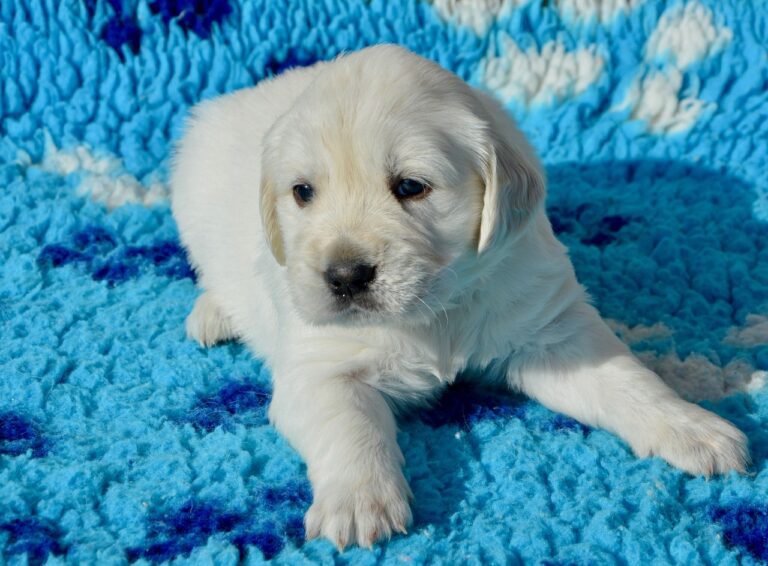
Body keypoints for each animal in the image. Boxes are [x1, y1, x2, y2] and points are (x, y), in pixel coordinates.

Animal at [170, 44, 752, 552]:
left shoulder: (549, 329)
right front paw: (359, 501)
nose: (344, 276)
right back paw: (213, 312)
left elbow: (627, 382)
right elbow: (350, 425)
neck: (436, 307)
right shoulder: (319, 369)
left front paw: (692, 428)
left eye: (410, 186)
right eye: (303, 192)